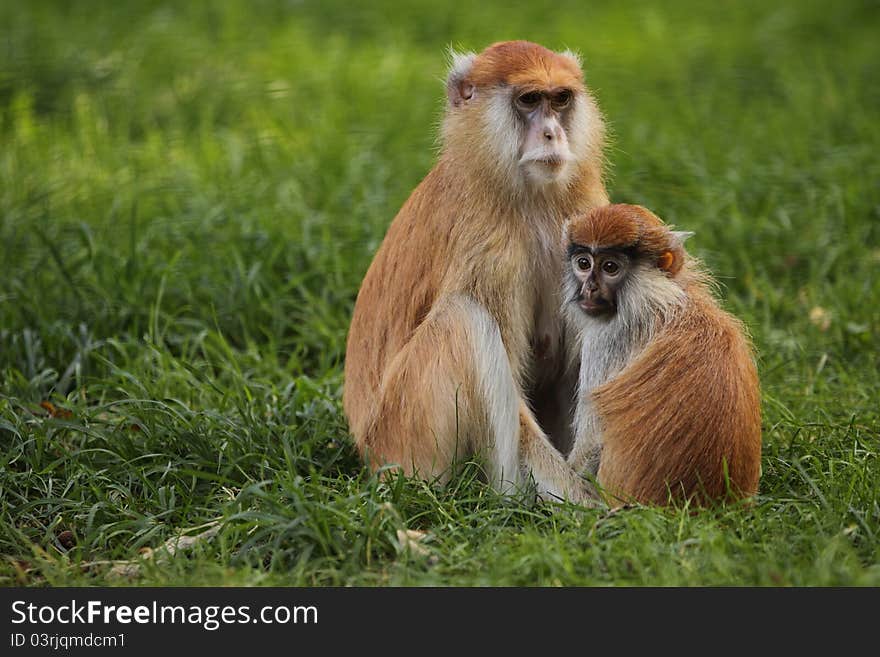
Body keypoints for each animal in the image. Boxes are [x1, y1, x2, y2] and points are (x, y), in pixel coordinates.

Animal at [340, 41, 608, 498]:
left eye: (560, 99)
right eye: (529, 99)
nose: (553, 134)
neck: (529, 196)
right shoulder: (488, 249)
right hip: (404, 435)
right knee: (463, 319)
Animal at [564, 202, 764, 504]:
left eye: (610, 267)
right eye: (583, 263)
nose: (590, 288)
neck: (664, 297)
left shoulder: (609, 339)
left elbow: (591, 443)